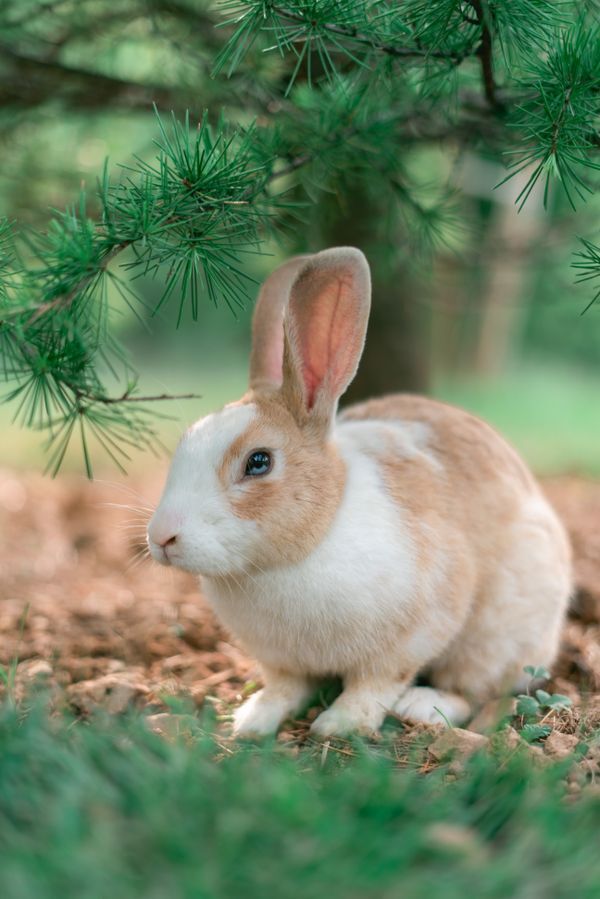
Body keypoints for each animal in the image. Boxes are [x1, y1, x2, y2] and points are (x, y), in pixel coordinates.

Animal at [147, 247, 572, 738]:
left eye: (258, 461)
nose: (161, 538)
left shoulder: (410, 639)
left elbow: (374, 685)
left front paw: (338, 725)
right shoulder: (281, 662)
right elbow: (286, 688)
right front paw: (252, 721)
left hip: (495, 637)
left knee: (474, 690)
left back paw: (424, 707)